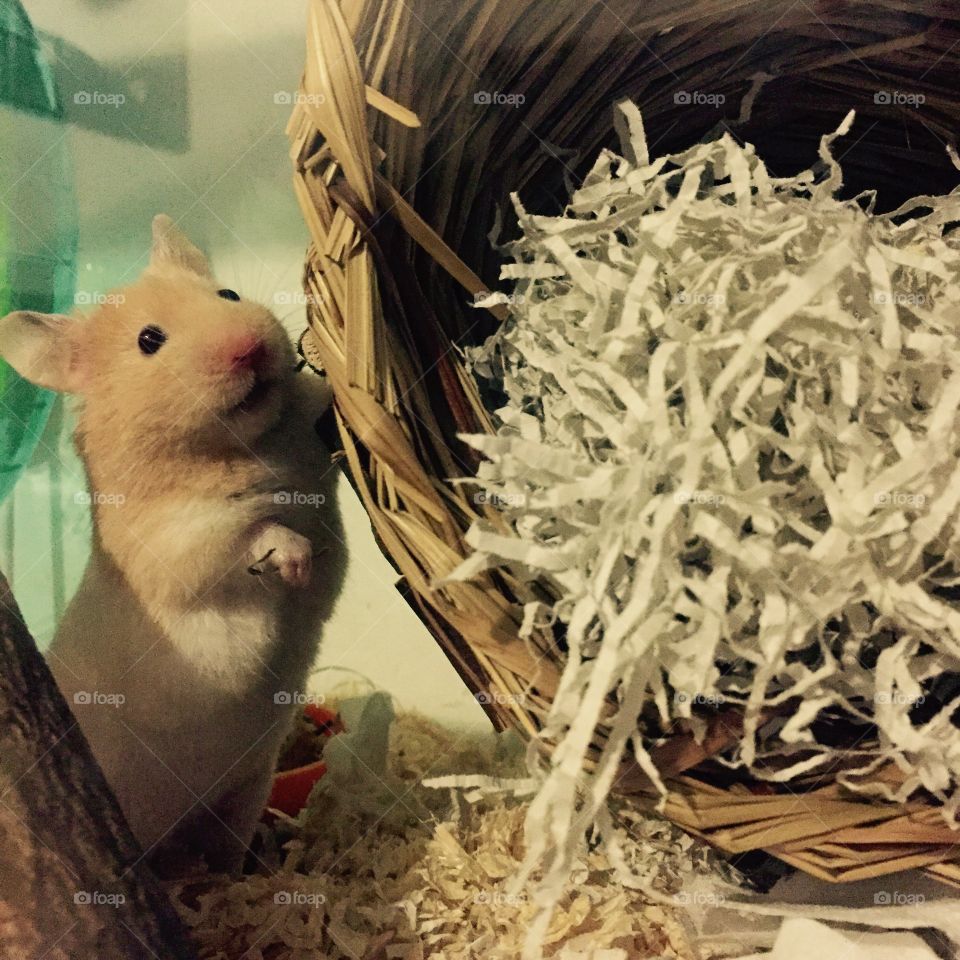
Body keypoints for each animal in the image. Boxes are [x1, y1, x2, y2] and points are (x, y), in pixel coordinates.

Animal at [0, 215, 344, 873]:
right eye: (149, 340)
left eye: (228, 294)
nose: (250, 348)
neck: (234, 447)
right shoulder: (180, 551)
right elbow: (258, 533)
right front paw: (294, 565)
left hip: (243, 794)